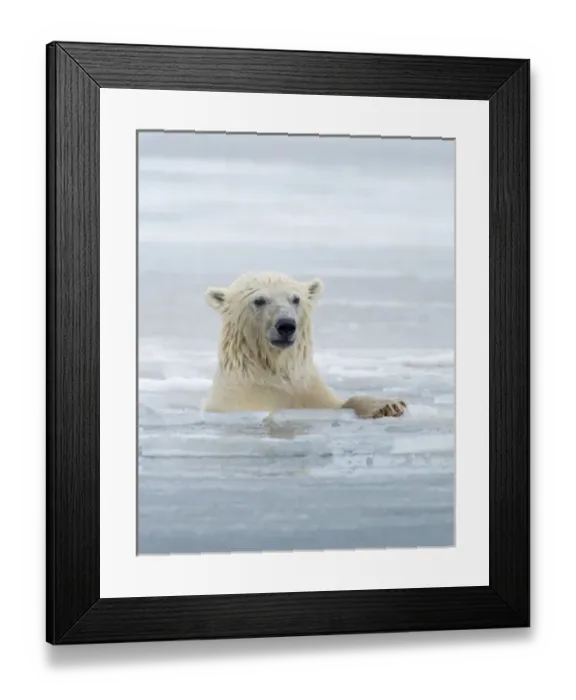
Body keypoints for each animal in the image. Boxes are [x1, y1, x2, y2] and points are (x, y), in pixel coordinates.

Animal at [203, 272, 407, 419]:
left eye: (295, 299)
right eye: (259, 300)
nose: (286, 325)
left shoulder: (308, 390)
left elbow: (338, 403)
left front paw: (388, 405)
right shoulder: (242, 398)